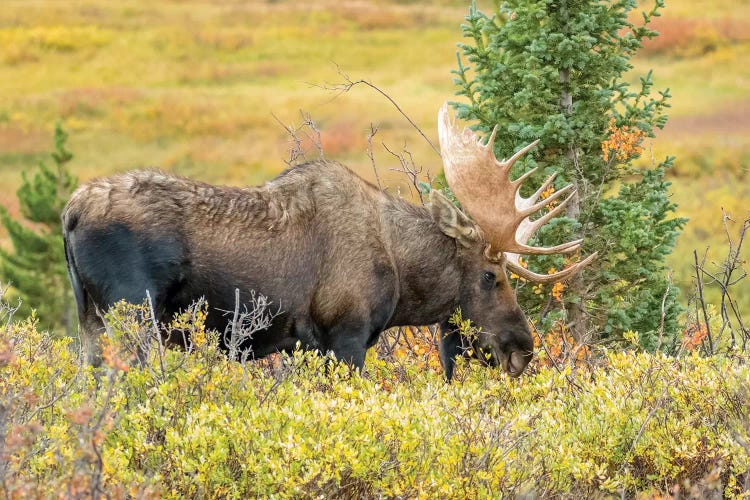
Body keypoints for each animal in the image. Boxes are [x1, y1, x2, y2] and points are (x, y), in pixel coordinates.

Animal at [61, 105, 596, 378]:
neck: (402, 276)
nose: (523, 349)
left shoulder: (306, 346)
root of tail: (69, 214)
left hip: (90, 320)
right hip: (132, 318)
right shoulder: (345, 336)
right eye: (490, 275)